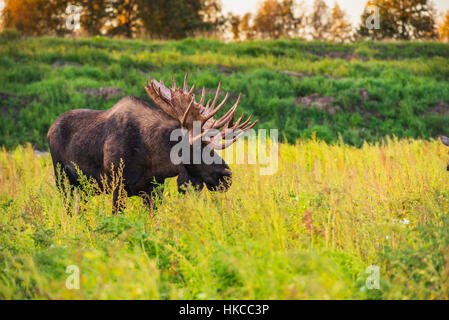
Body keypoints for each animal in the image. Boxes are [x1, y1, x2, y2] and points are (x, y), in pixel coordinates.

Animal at [47, 74, 258, 212]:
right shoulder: (117, 187)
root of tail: (50, 128)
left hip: (83, 189)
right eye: (198, 146)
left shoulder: (154, 191)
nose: (226, 175)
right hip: (62, 180)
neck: (154, 158)